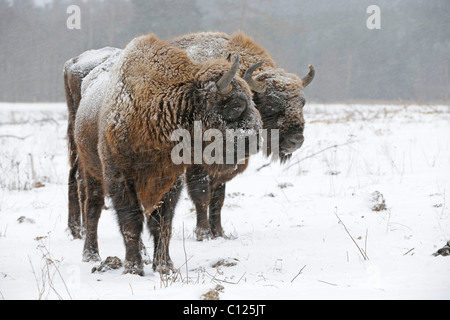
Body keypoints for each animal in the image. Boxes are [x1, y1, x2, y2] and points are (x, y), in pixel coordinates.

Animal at [69, 34, 264, 276]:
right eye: (237, 104)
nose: (257, 138)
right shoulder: (121, 178)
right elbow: (131, 222)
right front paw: (133, 268)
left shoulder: (170, 181)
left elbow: (162, 223)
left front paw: (164, 266)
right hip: (91, 172)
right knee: (92, 208)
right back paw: (91, 254)